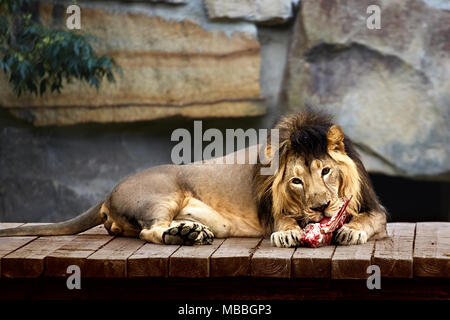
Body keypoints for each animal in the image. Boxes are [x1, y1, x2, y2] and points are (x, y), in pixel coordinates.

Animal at [0, 110, 386, 248]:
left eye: (325, 170)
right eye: (296, 181)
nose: (321, 208)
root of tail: (109, 192)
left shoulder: (376, 210)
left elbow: (369, 220)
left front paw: (352, 230)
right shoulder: (272, 213)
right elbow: (284, 221)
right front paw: (289, 231)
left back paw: (190, 231)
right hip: (162, 194)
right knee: (150, 230)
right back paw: (183, 234)